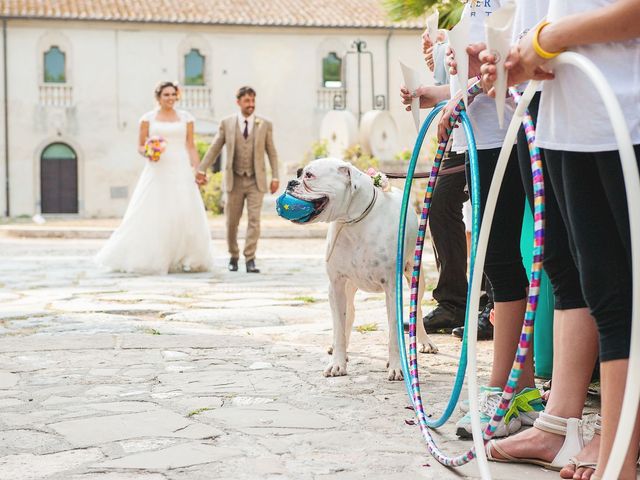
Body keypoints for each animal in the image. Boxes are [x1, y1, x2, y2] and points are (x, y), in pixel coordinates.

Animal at [286, 157, 440, 378]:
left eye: (309, 176)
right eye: (299, 173)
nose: (291, 182)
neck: (352, 221)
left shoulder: (392, 289)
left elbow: (394, 332)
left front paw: (396, 366)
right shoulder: (336, 285)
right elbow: (339, 326)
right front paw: (338, 362)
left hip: (415, 279)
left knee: (416, 310)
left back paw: (425, 342)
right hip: (346, 288)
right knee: (348, 315)